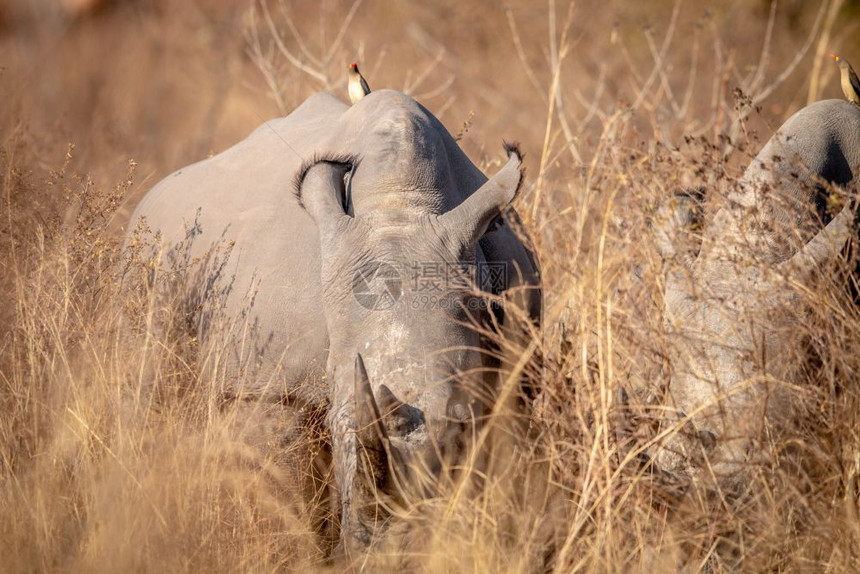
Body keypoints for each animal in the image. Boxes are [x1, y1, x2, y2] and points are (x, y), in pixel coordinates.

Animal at [127, 90, 536, 552]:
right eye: (342, 429)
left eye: (463, 424)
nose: (393, 553)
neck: (401, 205)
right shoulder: (277, 388)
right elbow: (293, 494)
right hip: (148, 257)